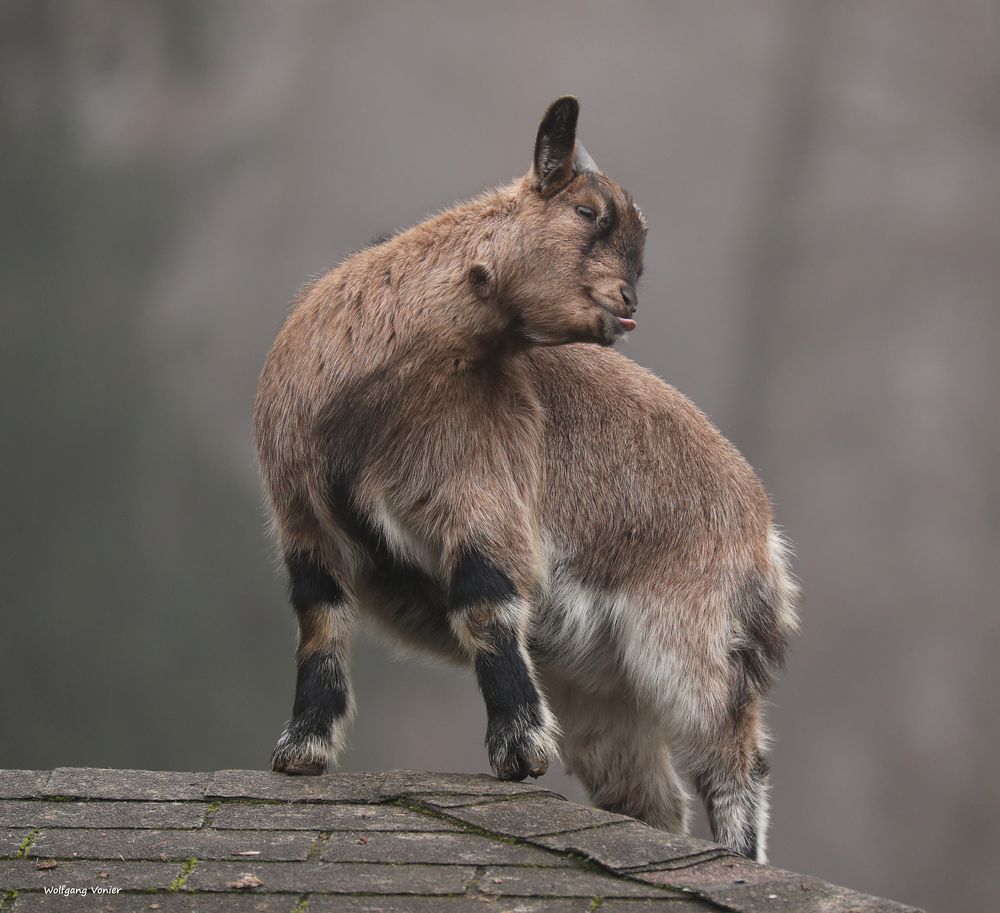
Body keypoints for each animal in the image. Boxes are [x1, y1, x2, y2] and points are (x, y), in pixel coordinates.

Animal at [254, 96, 800, 860]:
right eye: (587, 209)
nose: (627, 304)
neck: (366, 399)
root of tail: (761, 530)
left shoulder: (475, 495)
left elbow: (486, 607)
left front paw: (518, 751)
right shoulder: (303, 518)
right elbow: (320, 625)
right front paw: (301, 751)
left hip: (690, 636)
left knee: (732, 755)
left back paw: (739, 857)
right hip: (601, 687)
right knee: (652, 795)